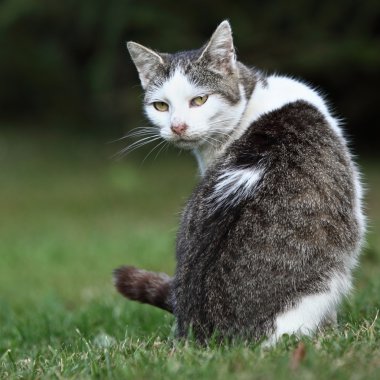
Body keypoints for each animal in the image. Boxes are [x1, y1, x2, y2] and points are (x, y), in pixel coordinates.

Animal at [113, 19, 366, 342]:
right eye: (161, 106)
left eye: (200, 100)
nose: (177, 126)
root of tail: (213, 337)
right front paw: (334, 329)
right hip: (327, 279)